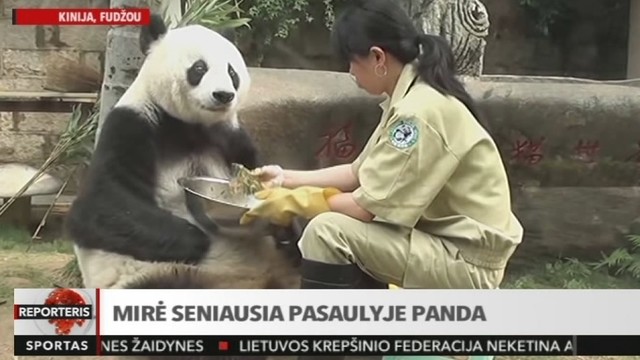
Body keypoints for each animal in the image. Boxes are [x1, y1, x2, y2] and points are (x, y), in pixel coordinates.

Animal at [65, 13, 302, 292]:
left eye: (232, 72)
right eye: (199, 69)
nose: (224, 95)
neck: (189, 124)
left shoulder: (230, 136)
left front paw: (284, 224)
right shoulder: (133, 125)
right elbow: (98, 206)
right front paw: (198, 238)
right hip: (155, 276)